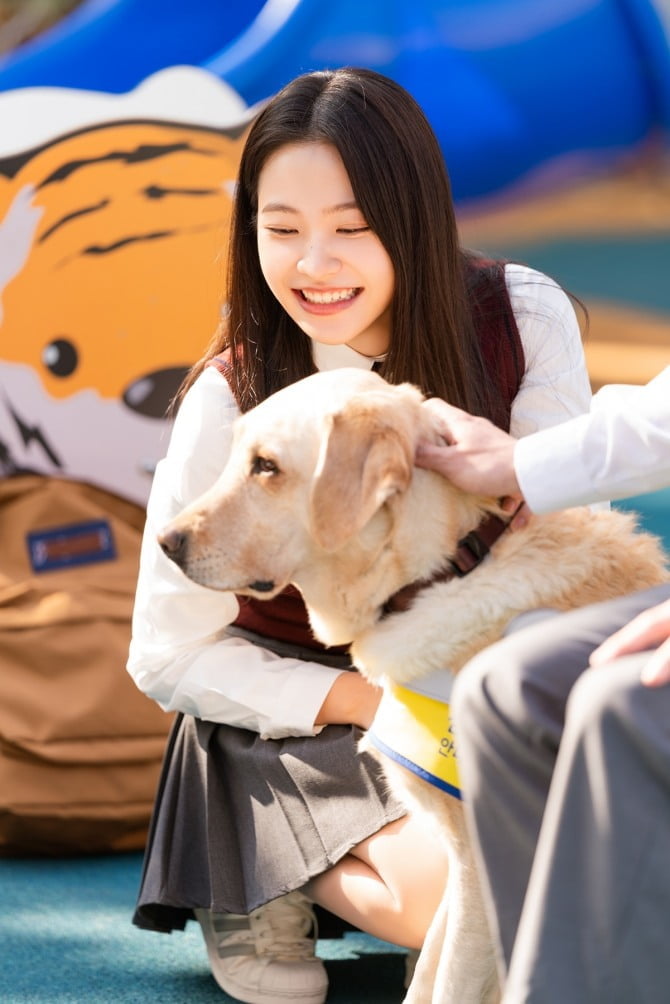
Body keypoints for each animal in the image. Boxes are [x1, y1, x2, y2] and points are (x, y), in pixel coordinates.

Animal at [158, 369, 670, 1003]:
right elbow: (427, 974)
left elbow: (448, 982)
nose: (165, 541)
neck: (447, 569)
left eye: (267, 466)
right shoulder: (457, 864)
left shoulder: (481, 868)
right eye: (234, 457)